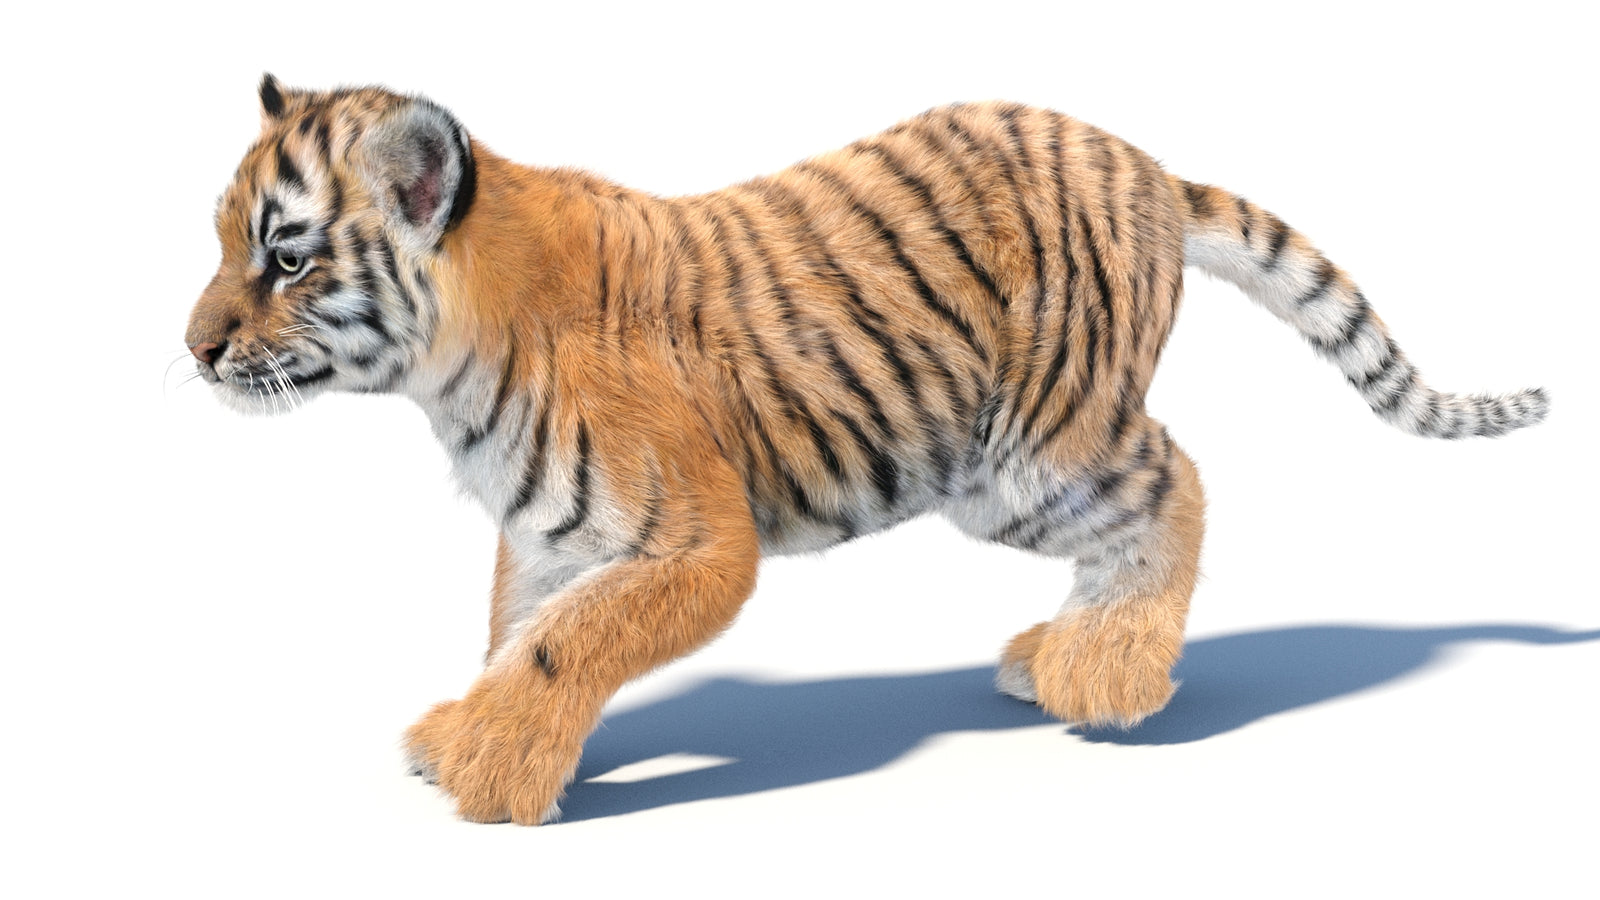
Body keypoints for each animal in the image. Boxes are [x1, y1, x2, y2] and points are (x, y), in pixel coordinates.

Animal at [185, 74, 1548, 824]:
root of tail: (1146, 166)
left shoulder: (697, 539)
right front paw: (468, 733)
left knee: (1178, 479)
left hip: (1025, 454)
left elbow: (569, 643)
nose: (193, 349)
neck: (448, 366)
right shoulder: (554, 531)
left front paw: (492, 772)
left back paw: (1106, 672)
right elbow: (519, 631)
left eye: (287, 256)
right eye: (221, 239)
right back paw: (1060, 655)